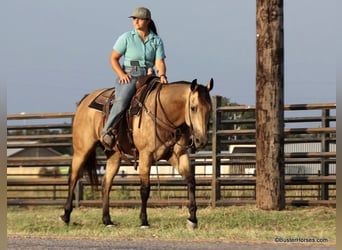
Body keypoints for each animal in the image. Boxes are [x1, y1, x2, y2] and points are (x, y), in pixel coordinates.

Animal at [60, 76, 212, 229]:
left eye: (209, 109)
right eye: (193, 108)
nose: (201, 140)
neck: (163, 113)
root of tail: (85, 100)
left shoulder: (178, 155)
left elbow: (191, 181)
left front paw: (192, 219)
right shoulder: (145, 155)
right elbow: (145, 189)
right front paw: (144, 221)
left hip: (114, 155)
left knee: (106, 184)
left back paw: (107, 220)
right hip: (82, 150)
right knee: (73, 177)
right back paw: (66, 216)